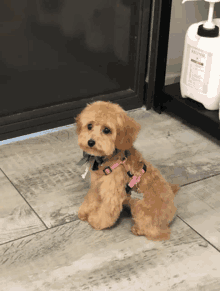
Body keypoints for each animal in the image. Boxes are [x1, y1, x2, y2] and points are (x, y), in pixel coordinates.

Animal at [75, 101, 179, 243]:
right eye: (89, 126)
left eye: (106, 130)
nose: (90, 142)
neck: (110, 158)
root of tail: (172, 209)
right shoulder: (97, 186)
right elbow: (91, 200)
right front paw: (85, 212)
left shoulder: (112, 194)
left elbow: (106, 212)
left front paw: (95, 221)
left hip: (140, 209)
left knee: (158, 233)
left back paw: (138, 229)